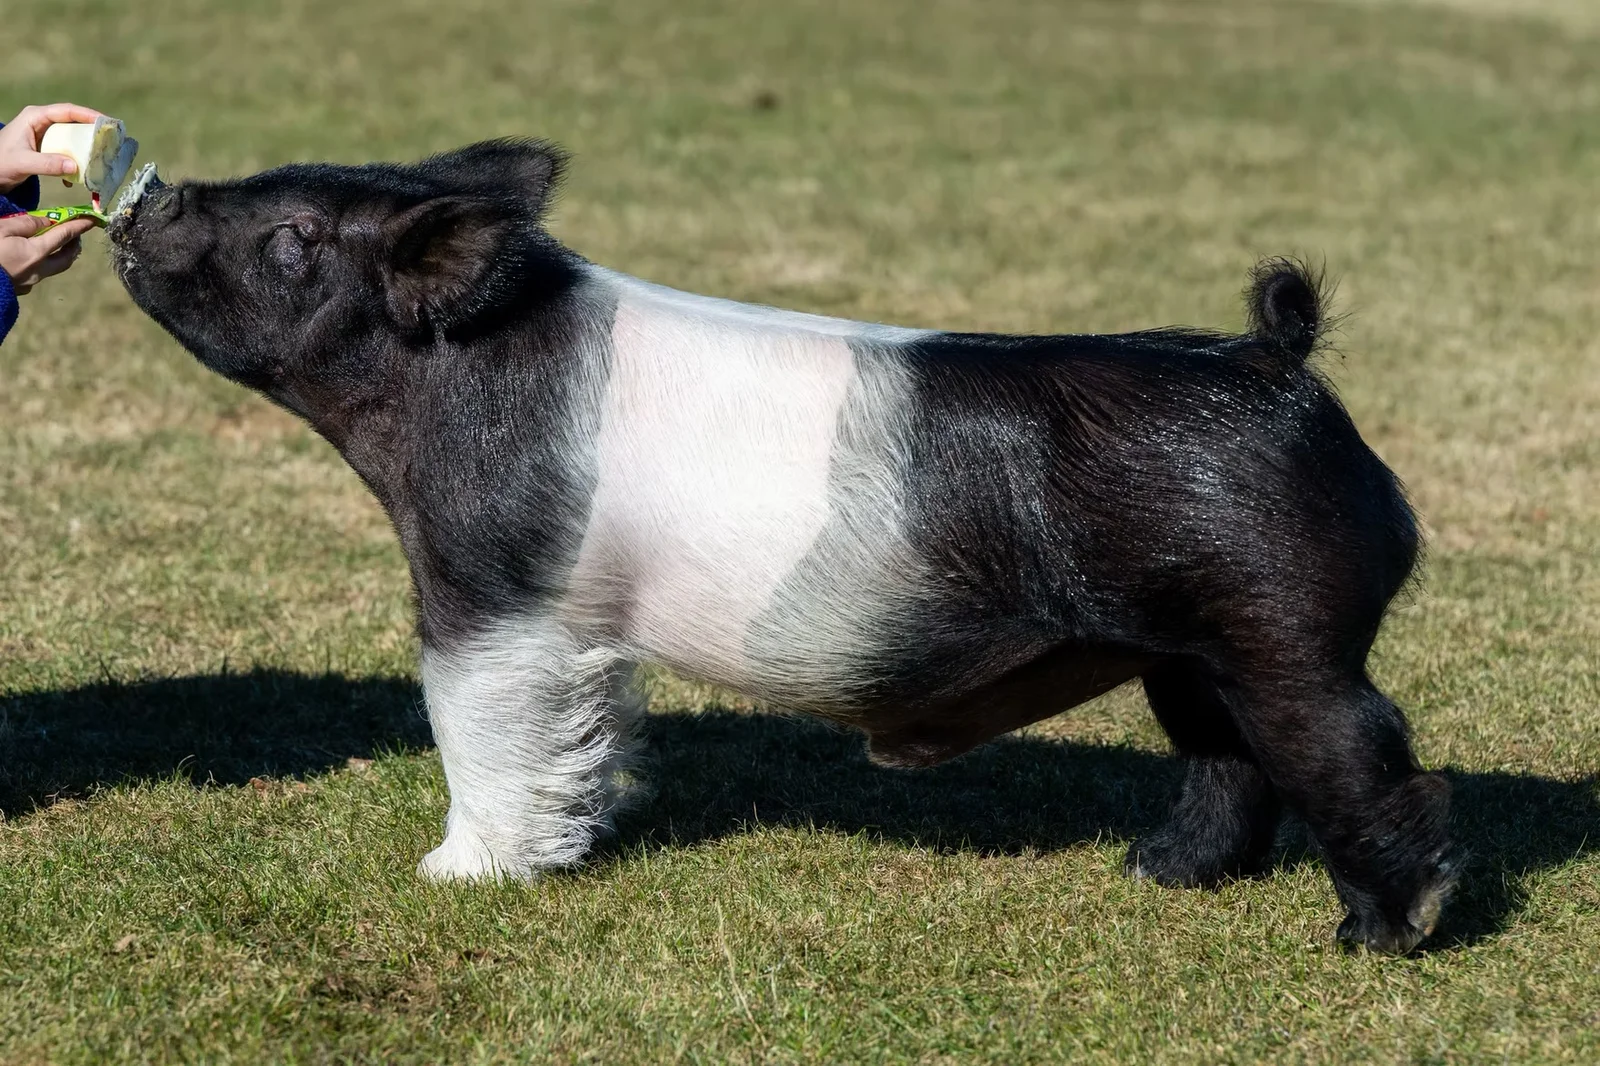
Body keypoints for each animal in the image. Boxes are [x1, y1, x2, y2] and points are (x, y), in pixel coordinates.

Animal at [108, 140, 1454, 953]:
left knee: (1358, 751)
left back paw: (1380, 934)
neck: (437, 390)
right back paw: (1154, 873)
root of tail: (1274, 360)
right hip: (1191, 648)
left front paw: (457, 877)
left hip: (1283, 628)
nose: (155, 193)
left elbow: (472, 720)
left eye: (292, 235)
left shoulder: (491, 585)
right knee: (1227, 759)